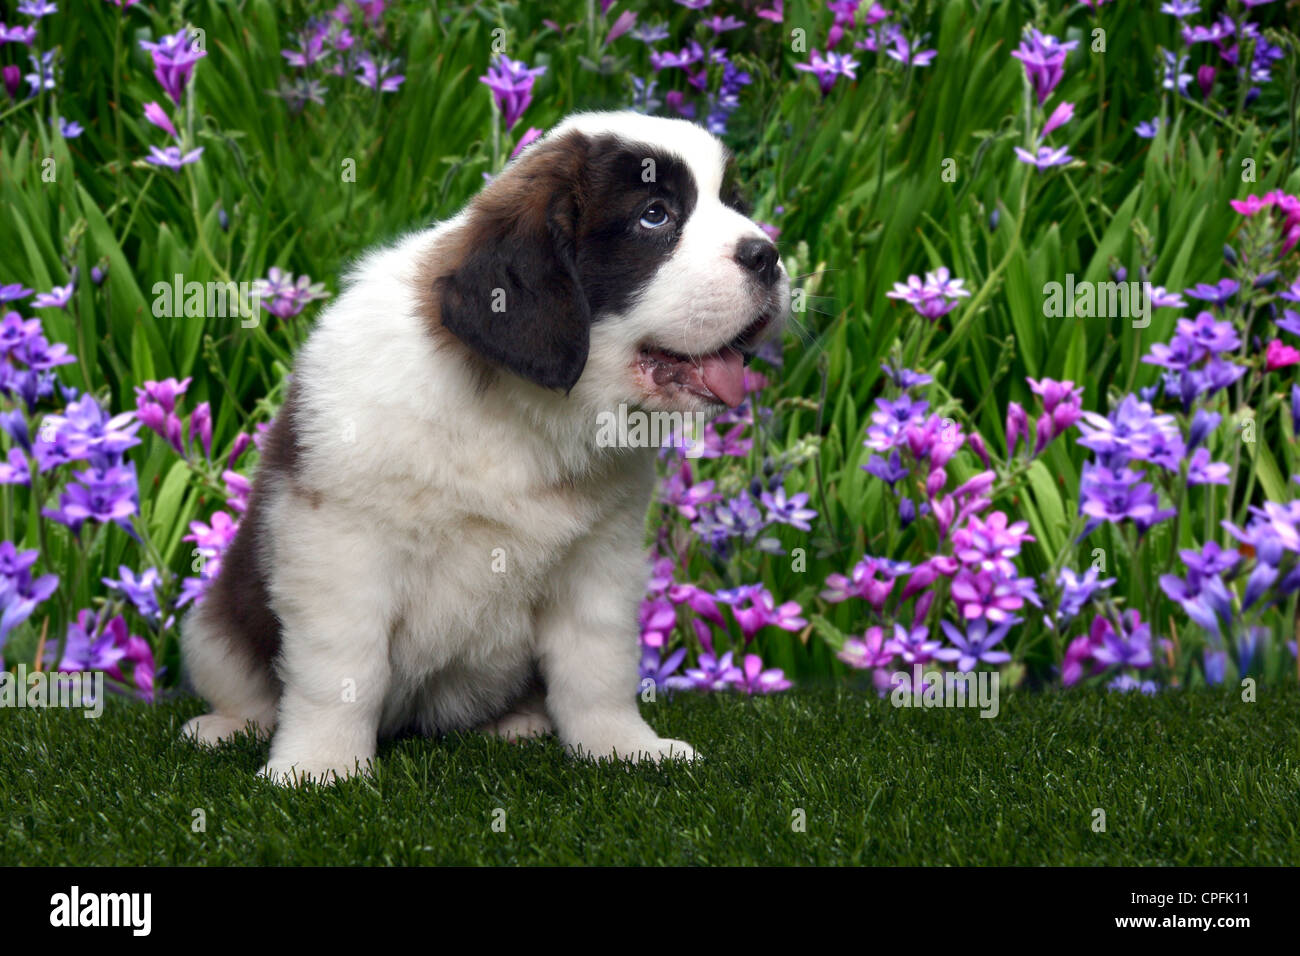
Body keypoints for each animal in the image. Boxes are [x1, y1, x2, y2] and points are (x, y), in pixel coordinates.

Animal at [180, 111, 790, 785]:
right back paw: (226, 726)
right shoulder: (339, 545)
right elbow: (342, 668)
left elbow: (597, 666)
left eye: (735, 204)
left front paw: (623, 747)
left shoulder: (599, 558)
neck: (521, 411)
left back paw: (517, 723)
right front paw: (319, 766)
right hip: (211, 625)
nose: (768, 255)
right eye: (654, 216)